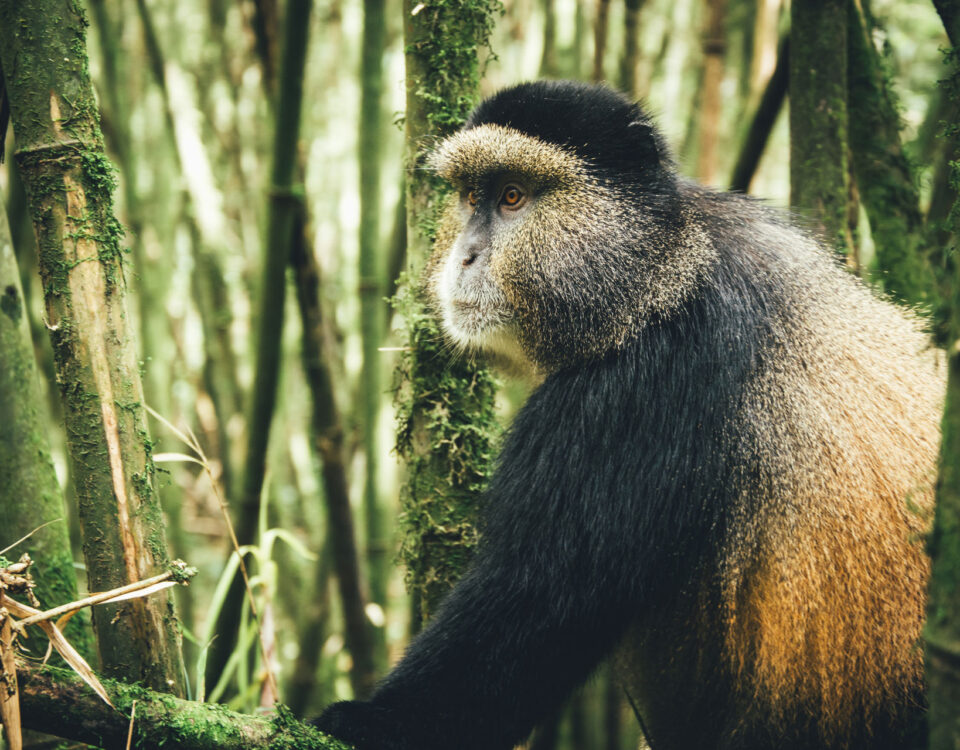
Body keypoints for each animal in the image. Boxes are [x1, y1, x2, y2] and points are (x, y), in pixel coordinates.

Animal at [315, 80, 943, 750]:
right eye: (470, 196)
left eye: (513, 197)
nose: (465, 256)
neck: (657, 276)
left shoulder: (637, 388)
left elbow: (536, 601)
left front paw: (369, 722)